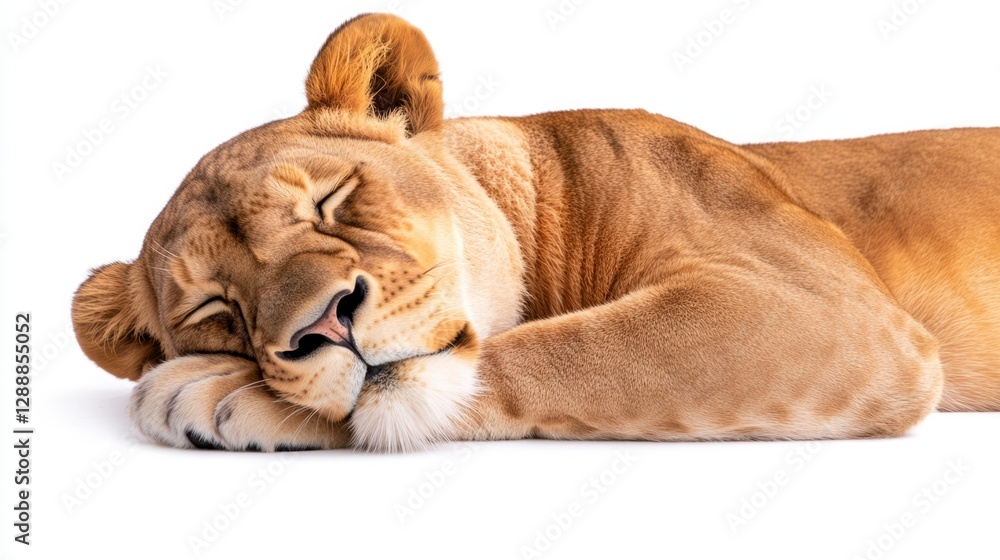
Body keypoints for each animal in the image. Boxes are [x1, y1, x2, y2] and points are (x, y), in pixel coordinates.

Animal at [72, 13, 1000, 452]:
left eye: (333, 201)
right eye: (214, 311)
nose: (322, 326)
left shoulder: (837, 313)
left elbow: (570, 349)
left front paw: (218, 391)